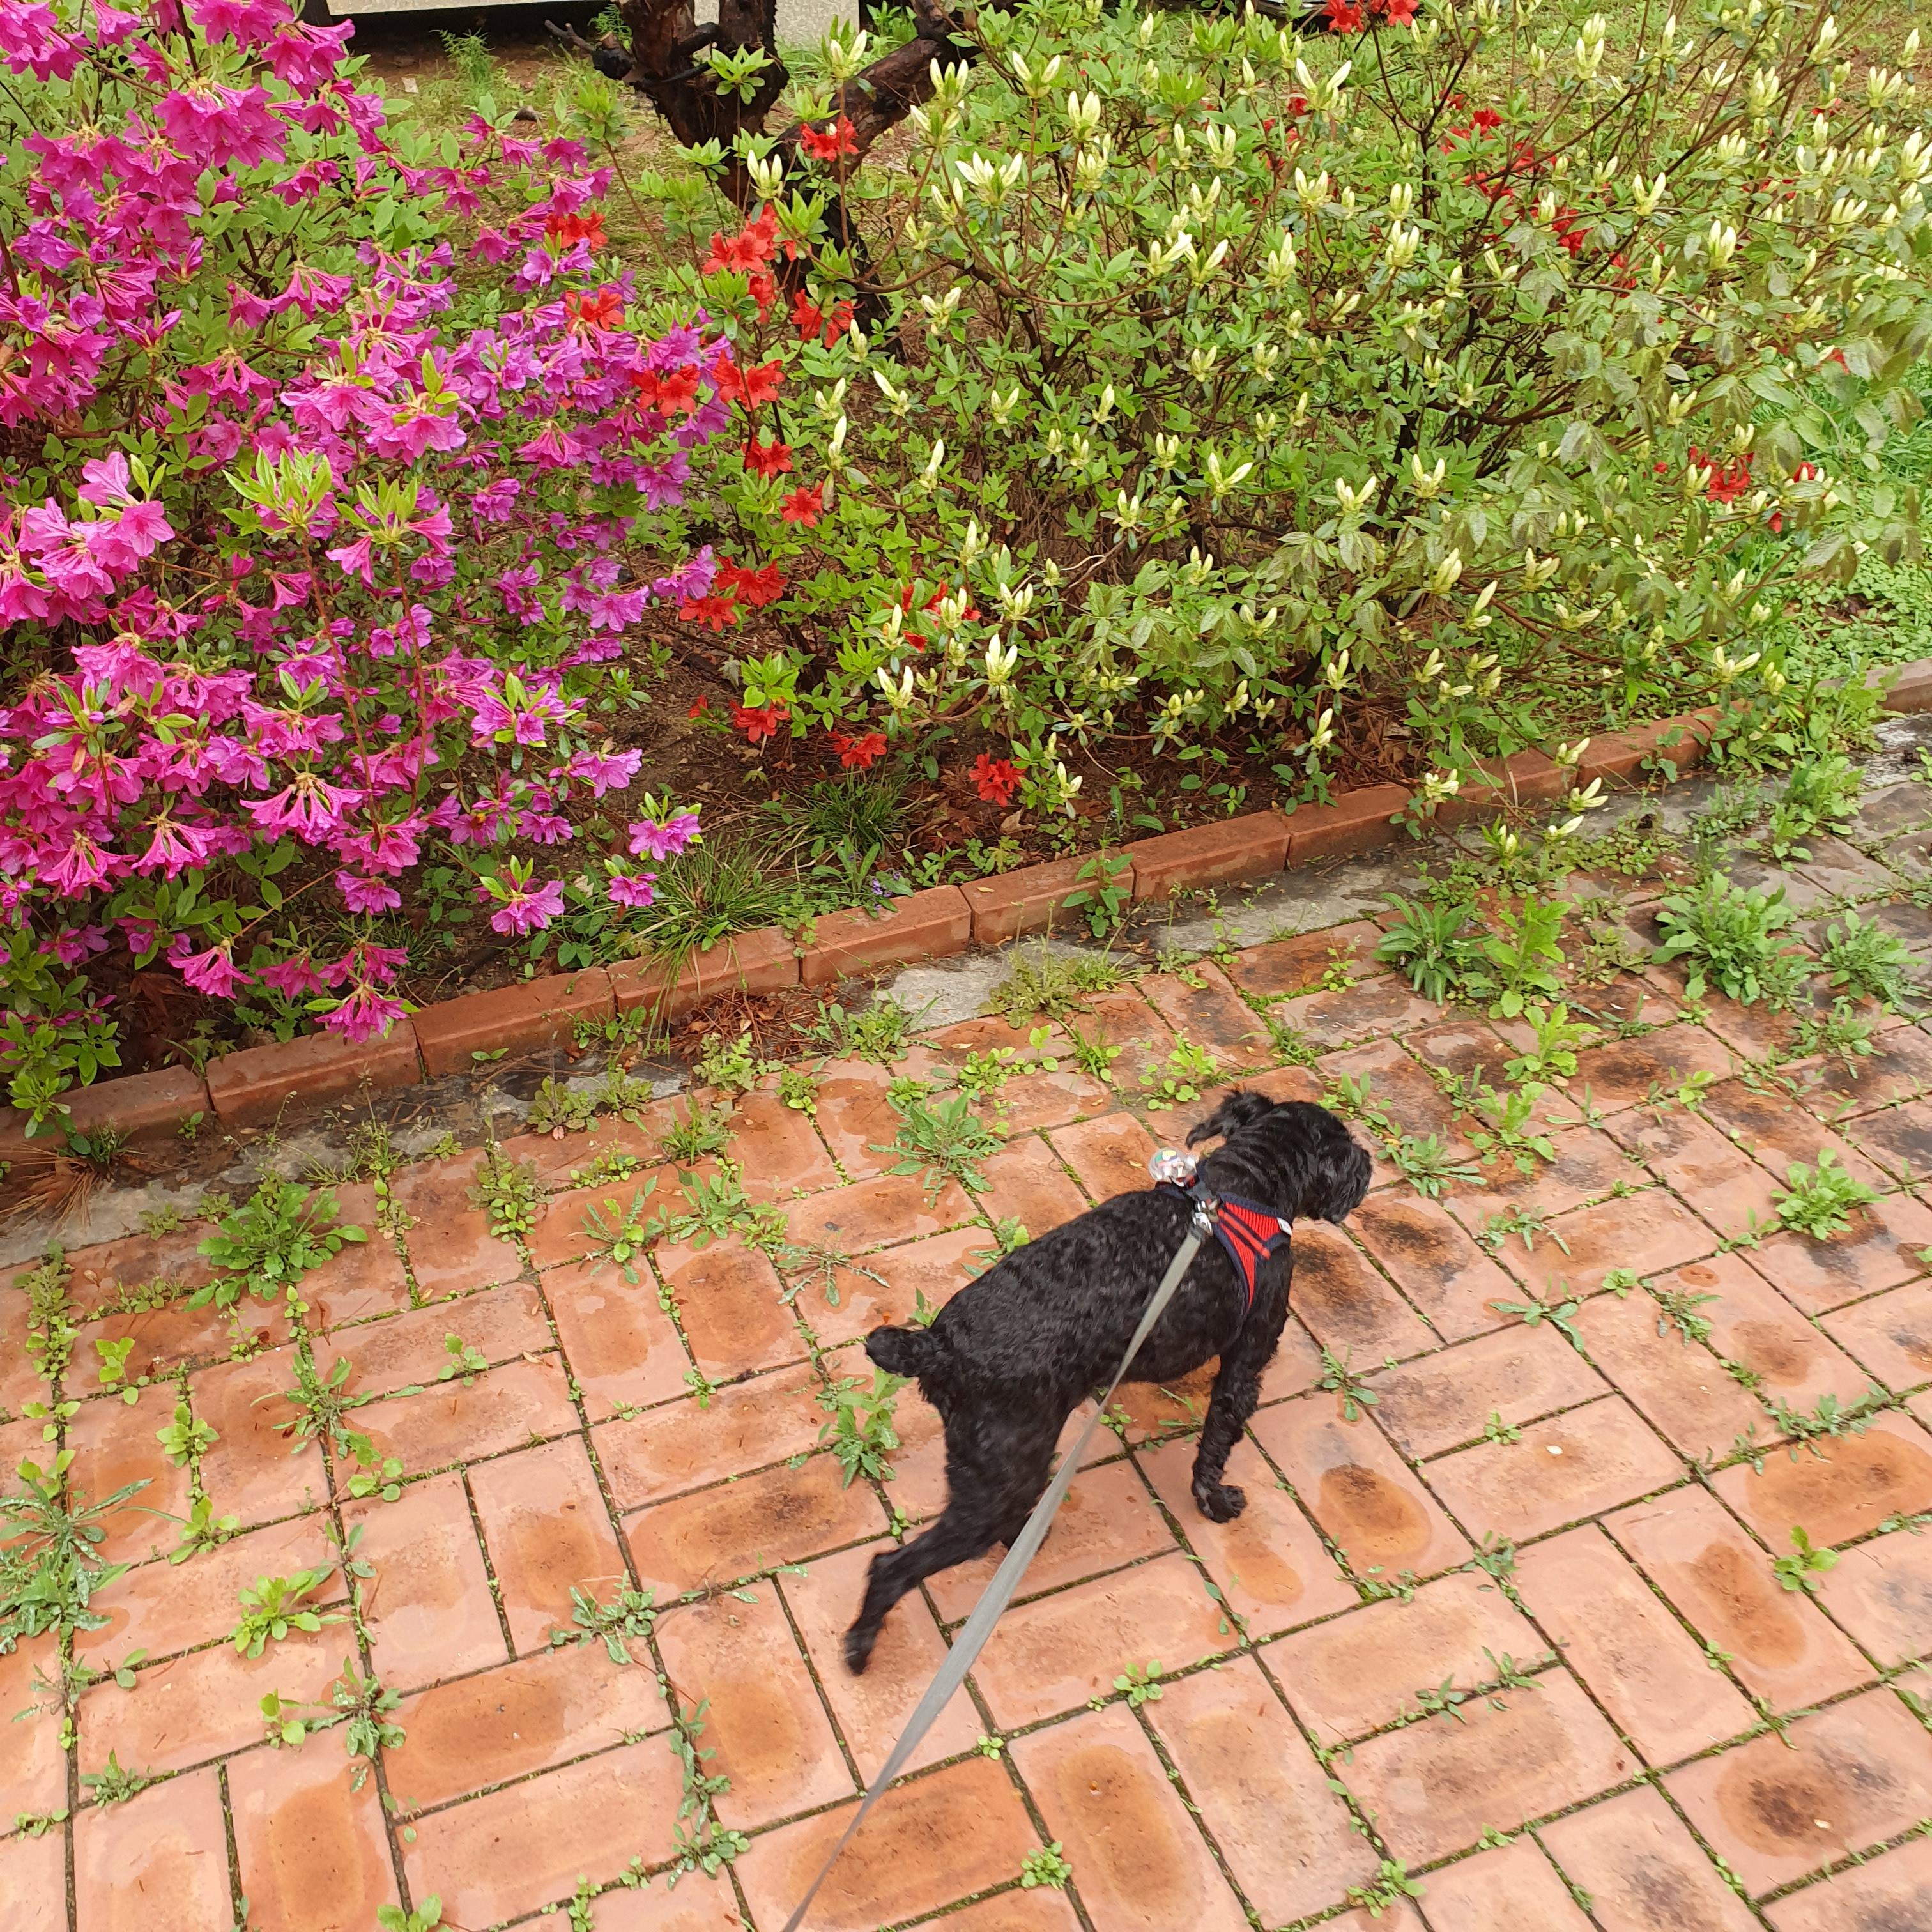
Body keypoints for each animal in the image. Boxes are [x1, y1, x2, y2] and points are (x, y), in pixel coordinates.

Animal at [843, 1091, 1371, 1672]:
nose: (1366, 1175)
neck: (1245, 1186)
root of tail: (938, 1346)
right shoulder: (1247, 1361)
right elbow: (1215, 1444)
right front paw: (1215, 1502)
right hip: (1002, 1473)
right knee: (894, 1566)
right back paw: (861, 1645)